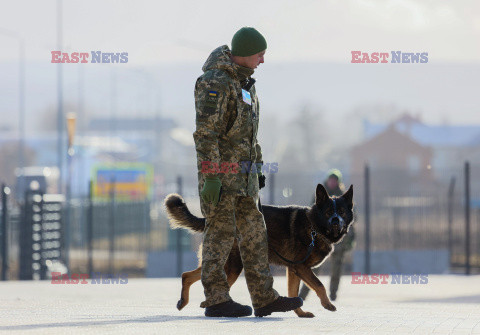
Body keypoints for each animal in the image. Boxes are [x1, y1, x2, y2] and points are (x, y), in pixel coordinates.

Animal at [163, 184, 354, 318]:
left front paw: (300, 313)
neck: (314, 226)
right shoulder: (301, 268)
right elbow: (319, 285)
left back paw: (187, 302)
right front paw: (327, 304)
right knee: (196, 277)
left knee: (188, 275)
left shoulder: (294, 270)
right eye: (328, 212)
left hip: (229, 266)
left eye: (342, 212)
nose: (336, 221)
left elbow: (293, 292)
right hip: (232, 266)